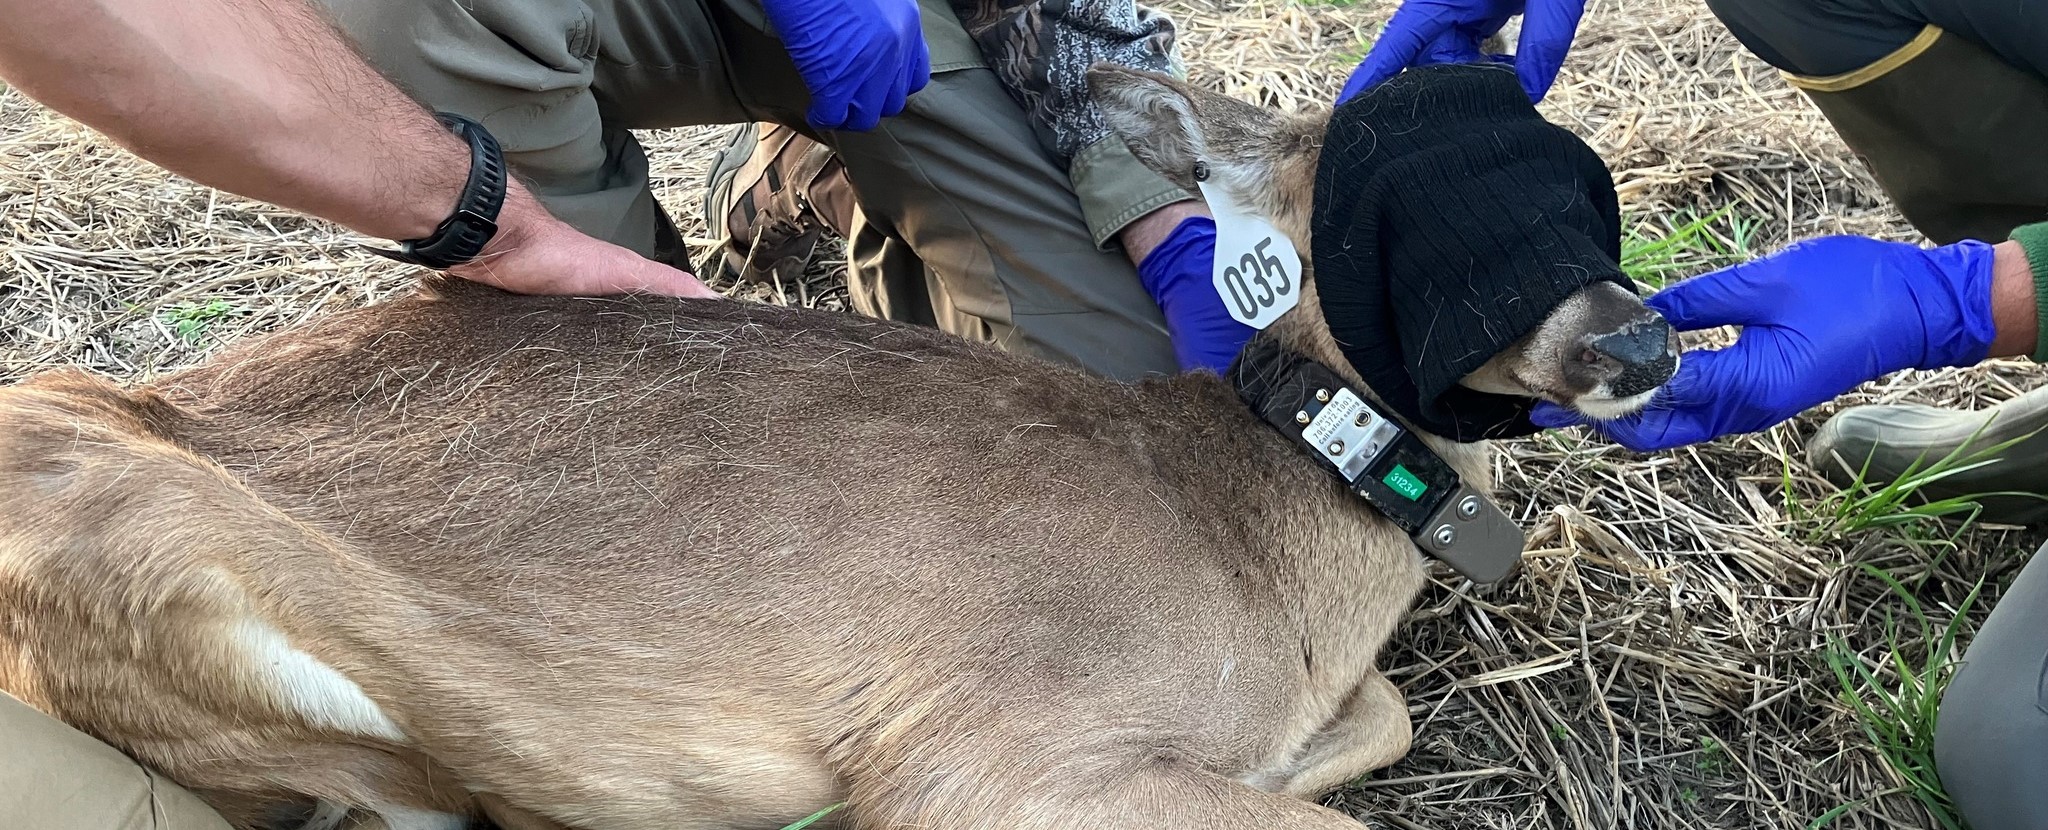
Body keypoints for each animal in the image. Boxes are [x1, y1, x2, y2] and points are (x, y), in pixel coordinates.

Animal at [0, 63, 1677, 830]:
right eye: (1408, 230)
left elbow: (1371, 720)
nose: (1639, 342)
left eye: (1581, 181)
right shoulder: (992, 755)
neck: (1252, 539)